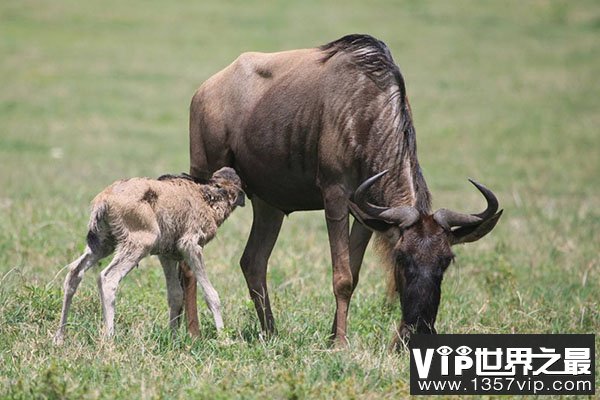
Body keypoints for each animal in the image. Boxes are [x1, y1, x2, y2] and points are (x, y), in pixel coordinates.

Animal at [53, 167, 244, 346]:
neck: (208, 197)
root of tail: (104, 200)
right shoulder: (190, 246)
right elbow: (211, 295)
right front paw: (225, 340)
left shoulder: (166, 255)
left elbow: (175, 295)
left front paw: (173, 338)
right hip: (139, 244)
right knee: (108, 278)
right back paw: (109, 338)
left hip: (102, 244)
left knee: (74, 271)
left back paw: (60, 337)